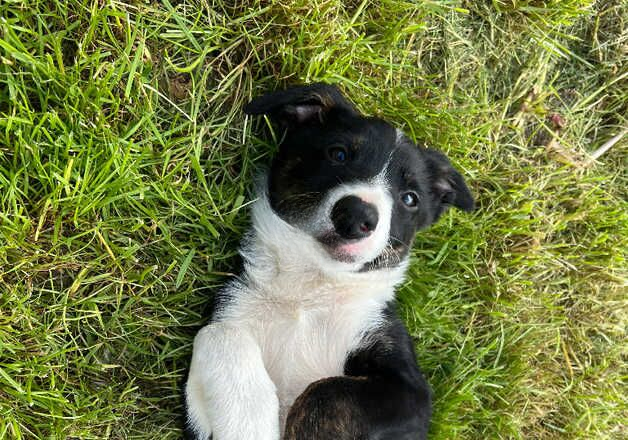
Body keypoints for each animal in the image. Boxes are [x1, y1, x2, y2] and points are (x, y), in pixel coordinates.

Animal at [184, 83, 474, 440]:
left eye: (410, 198)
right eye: (338, 154)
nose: (356, 216)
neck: (308, 290)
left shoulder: (411, 393)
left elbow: (327, 393)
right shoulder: (228, 311)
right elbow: (218, 334)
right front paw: (248, 423)